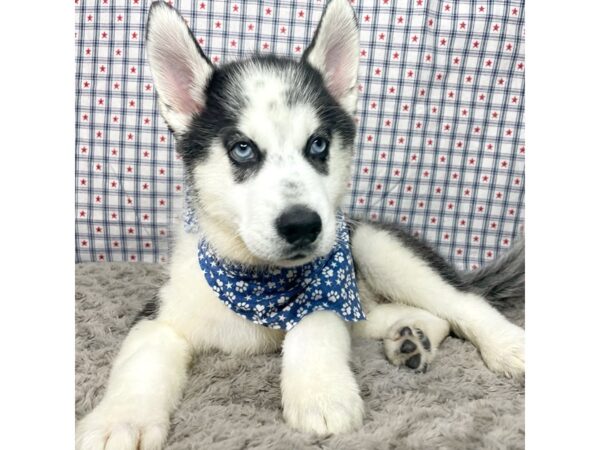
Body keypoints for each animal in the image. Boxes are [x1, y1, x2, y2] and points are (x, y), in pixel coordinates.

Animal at [76, 1, 524, 448]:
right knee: (416, 316)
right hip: (366, 301)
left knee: (462, 303)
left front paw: (321, 393)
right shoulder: (161, 316)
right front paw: (121, 421)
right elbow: (143, 359)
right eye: (242, 149)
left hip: (374, 245)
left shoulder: (326, 287)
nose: (302, 226)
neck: (259, 281)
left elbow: (314, 323)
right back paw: (412, 338)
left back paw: (505, 345)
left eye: (318, 145)